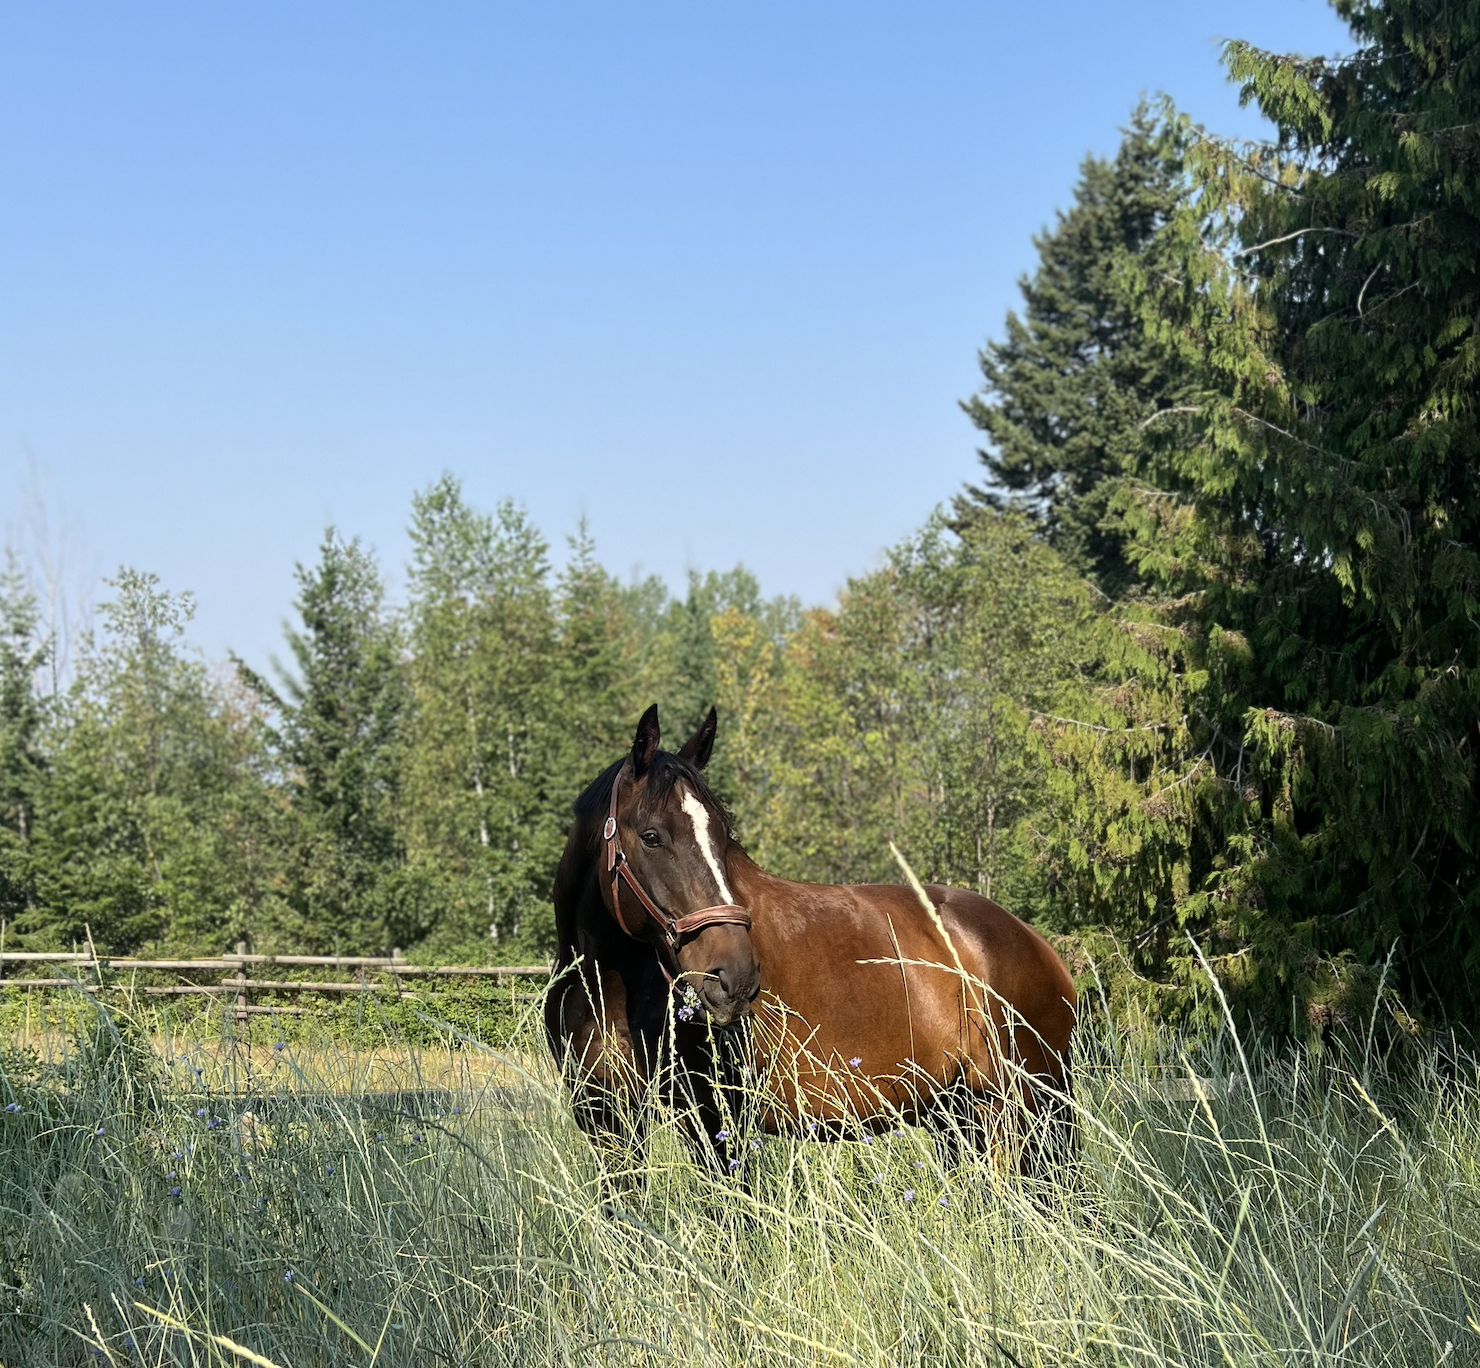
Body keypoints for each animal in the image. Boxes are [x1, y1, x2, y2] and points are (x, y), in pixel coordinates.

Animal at [544, 704, 1078, 1182]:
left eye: (722, 835)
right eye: (652, 836)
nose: (735, 978)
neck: (613, 982)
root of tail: (1036, 944)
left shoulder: (718, 1120)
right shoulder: (605, 1120)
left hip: (1026, 1111)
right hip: (958, 1114)